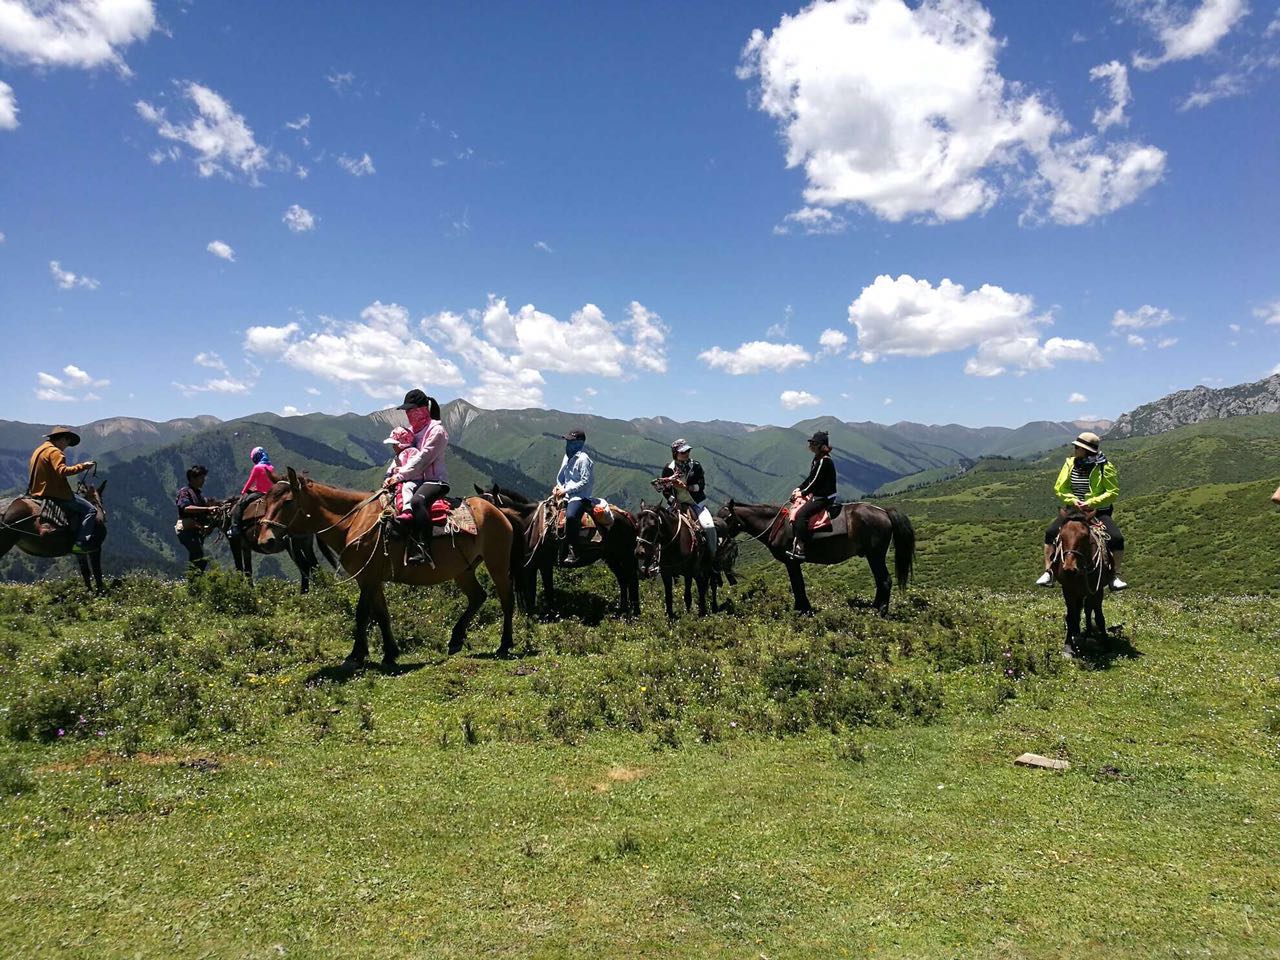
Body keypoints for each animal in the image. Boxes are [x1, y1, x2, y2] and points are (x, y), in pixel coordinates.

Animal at [254, 471, 514, 665]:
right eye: (265, 501)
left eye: (288, 502)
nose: (265, 541)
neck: (354, 522)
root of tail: (497, 511)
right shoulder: (370, 579)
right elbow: (380, 614)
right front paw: (387, 653)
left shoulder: (368, 577)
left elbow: (364, 613)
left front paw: (358, 654)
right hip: (463, 570)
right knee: (478, 597)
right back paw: (456, 640)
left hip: (497, 562)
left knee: (506, 600)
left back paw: (504, 645)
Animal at [716, 496, 916, 616]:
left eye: (725, 518)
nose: (718, 542)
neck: (776, 525)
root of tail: (883, 512)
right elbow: (798, 585)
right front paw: (803, 608)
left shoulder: (791, 561)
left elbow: (798, 585)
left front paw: (802, 610)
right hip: (872, 555)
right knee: (881, 581)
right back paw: (874, 608)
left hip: (875, 555)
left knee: (885, 580)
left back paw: (880, 611)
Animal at [1049, 506, 1111, 660]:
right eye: (1062, 536)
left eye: (1084, 536)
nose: (1070, 568)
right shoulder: (1068, 590)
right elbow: (1071, 616)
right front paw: (1068, 646)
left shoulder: (1097, 590)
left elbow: (1099, 616)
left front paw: (1106, 645)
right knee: (1079, 610)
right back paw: (1077, 633)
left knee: (1088, 609)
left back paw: (1088, 633)